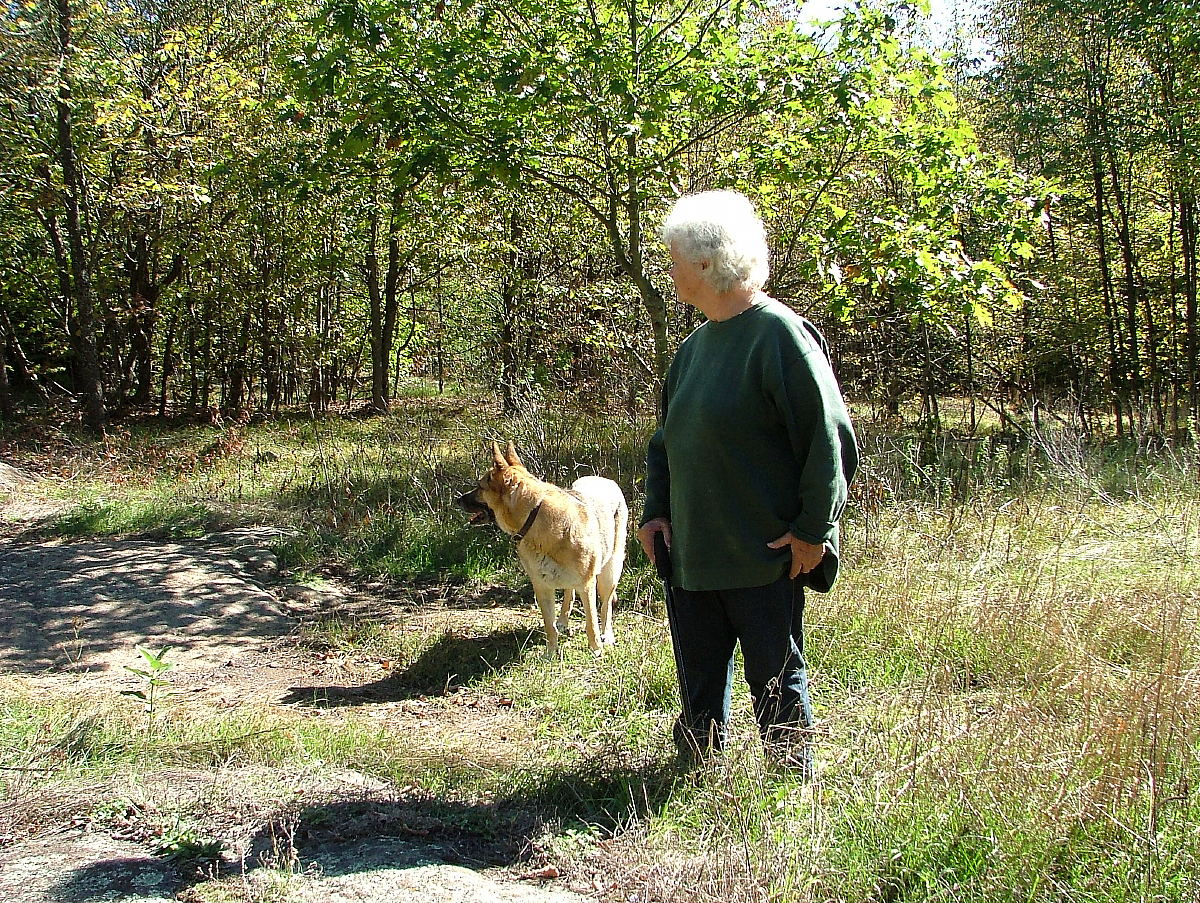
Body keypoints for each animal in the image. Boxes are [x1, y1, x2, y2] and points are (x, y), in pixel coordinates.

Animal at [456, 441, 628, 658]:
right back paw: (563, 621)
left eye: (479, 487)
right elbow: (549, 625)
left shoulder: (587, 584)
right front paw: (551, 654)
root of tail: (605, 480)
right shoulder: (542, 587)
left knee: (605, 607)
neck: (534, 516)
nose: (457, 500)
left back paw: (607, 635)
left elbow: (591, 623)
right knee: (569, 594)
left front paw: (596, 649)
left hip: (609, 574)